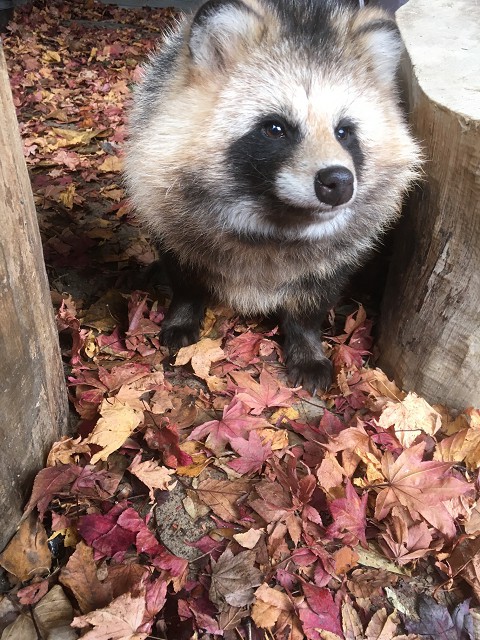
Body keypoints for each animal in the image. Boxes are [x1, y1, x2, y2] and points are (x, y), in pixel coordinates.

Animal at [125, 0, 422, 390]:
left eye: (344, 132)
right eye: (275, 129)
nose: (338, 181)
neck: (278, 223)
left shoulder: (342, 247)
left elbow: (314, 296)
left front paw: (306, 342)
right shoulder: (164, 199)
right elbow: (184, 270)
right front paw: (184, 310)